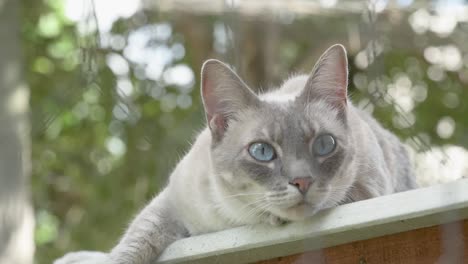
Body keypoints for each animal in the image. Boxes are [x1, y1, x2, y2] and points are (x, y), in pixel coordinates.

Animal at [54, 44, 416, 264]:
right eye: (262, 151)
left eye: (324, 145)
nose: (301, 181)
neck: (231, 222)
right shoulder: (171, 203)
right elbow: (133, 244)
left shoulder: (368, 190)